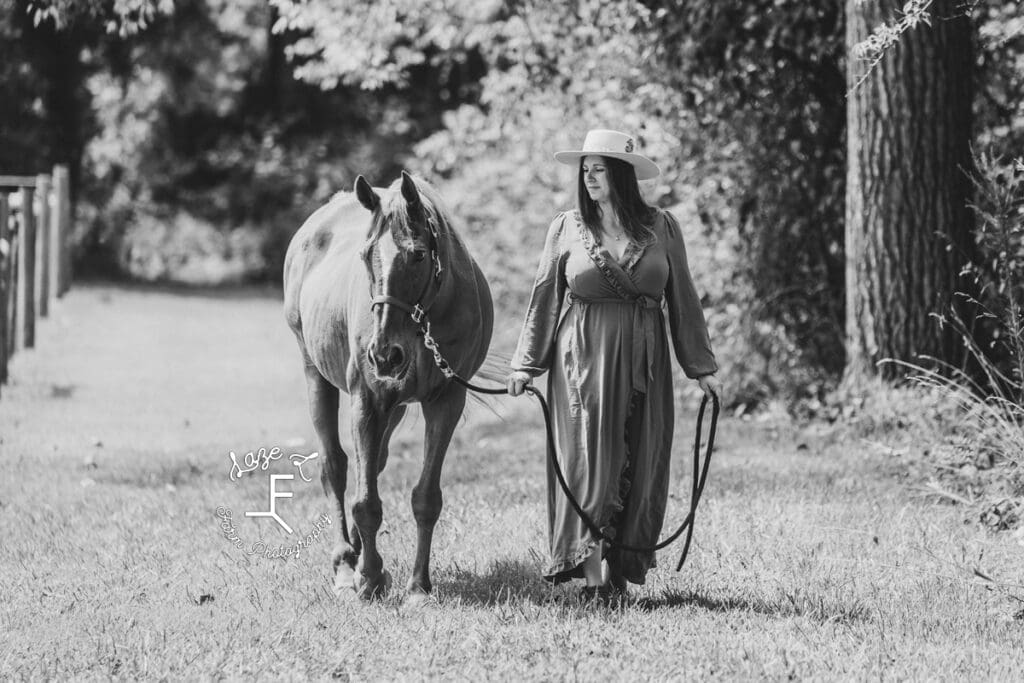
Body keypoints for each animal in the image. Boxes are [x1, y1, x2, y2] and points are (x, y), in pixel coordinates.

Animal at [282, 171, 493, 598]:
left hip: (392, 407)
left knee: (373, 463)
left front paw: (418, 587)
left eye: (418, 255)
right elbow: (365, 502)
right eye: (365, 256)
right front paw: (368, 578)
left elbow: (425, 498)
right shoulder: (368, 399)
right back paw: (346, 564)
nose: (383, 355)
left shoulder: (446, 401)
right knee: (336, 467)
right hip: (316, 376)